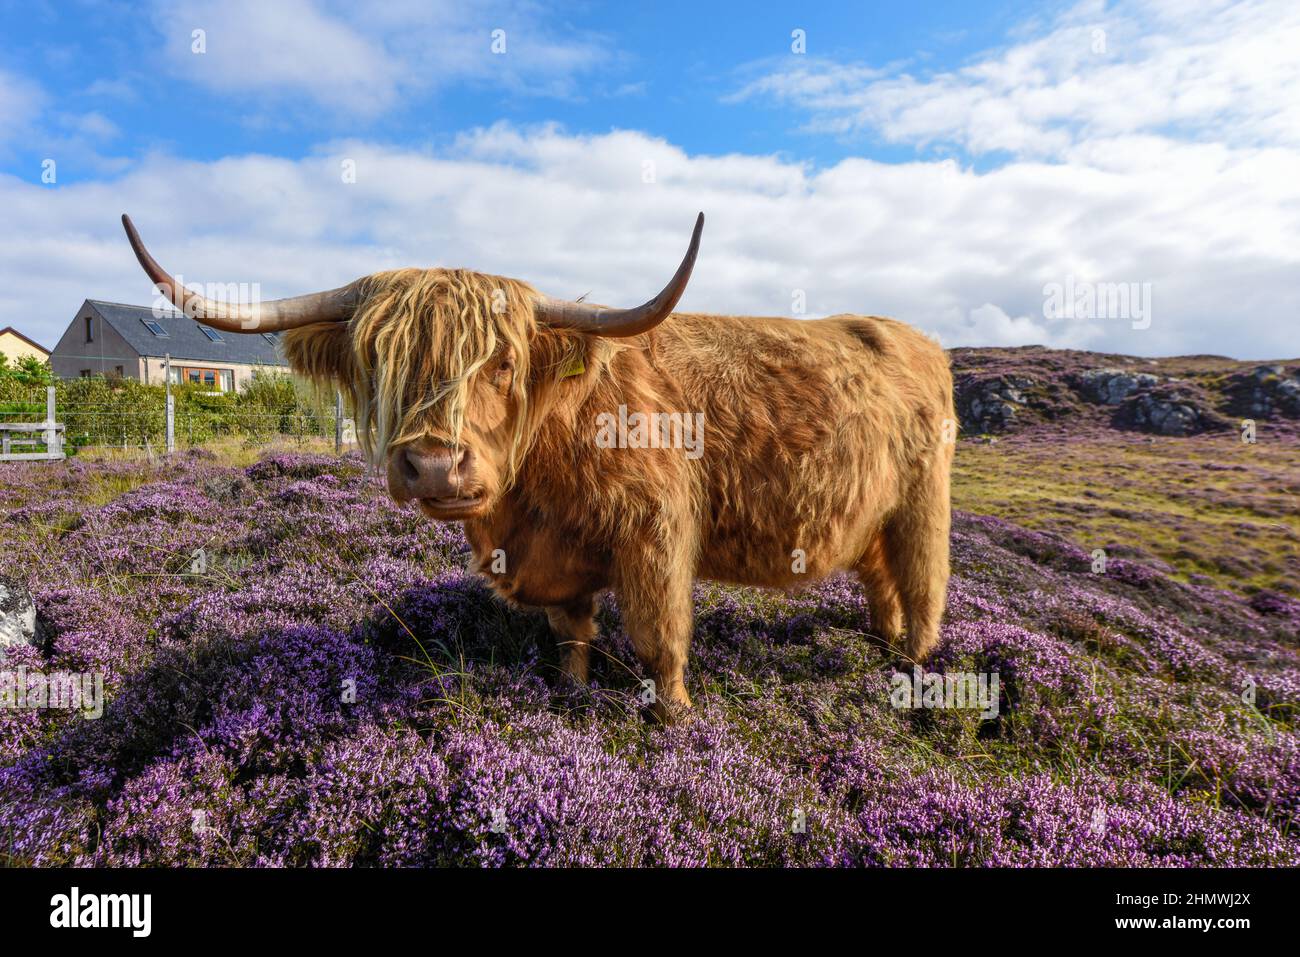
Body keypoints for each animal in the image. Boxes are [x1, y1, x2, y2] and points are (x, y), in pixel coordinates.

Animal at [122, 213, 956, 722]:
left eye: (503, 364)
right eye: (382, 360)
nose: (434, 465)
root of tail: (917, 338)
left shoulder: (655, 536)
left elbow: (658, 636)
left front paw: (675, 718)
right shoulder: (560, 555)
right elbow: (571, 632)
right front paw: (570, 693)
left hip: (924, 503)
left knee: (924, 582)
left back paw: (910, 671)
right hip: (870, 513)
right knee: (881, 580)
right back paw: (878, 645)